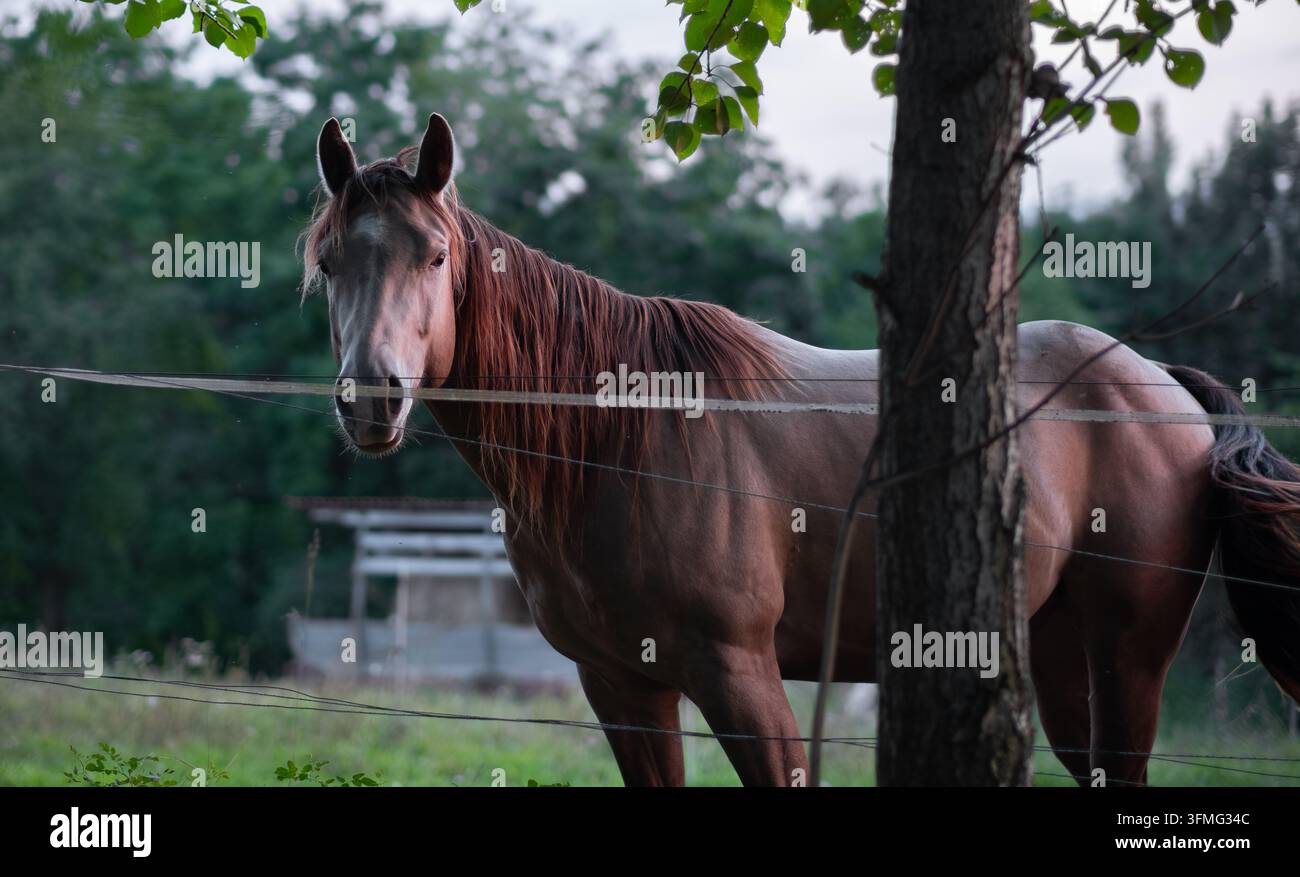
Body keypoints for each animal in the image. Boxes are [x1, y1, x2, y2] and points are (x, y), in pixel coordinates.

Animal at [302, 112, 1300, 787]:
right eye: (329, 264)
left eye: (436, 257)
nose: (373, 397)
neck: (621, 443)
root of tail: (1160, 381)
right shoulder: (621, 685)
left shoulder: (743, 675)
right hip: (1060, 653)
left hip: (1128, 653)